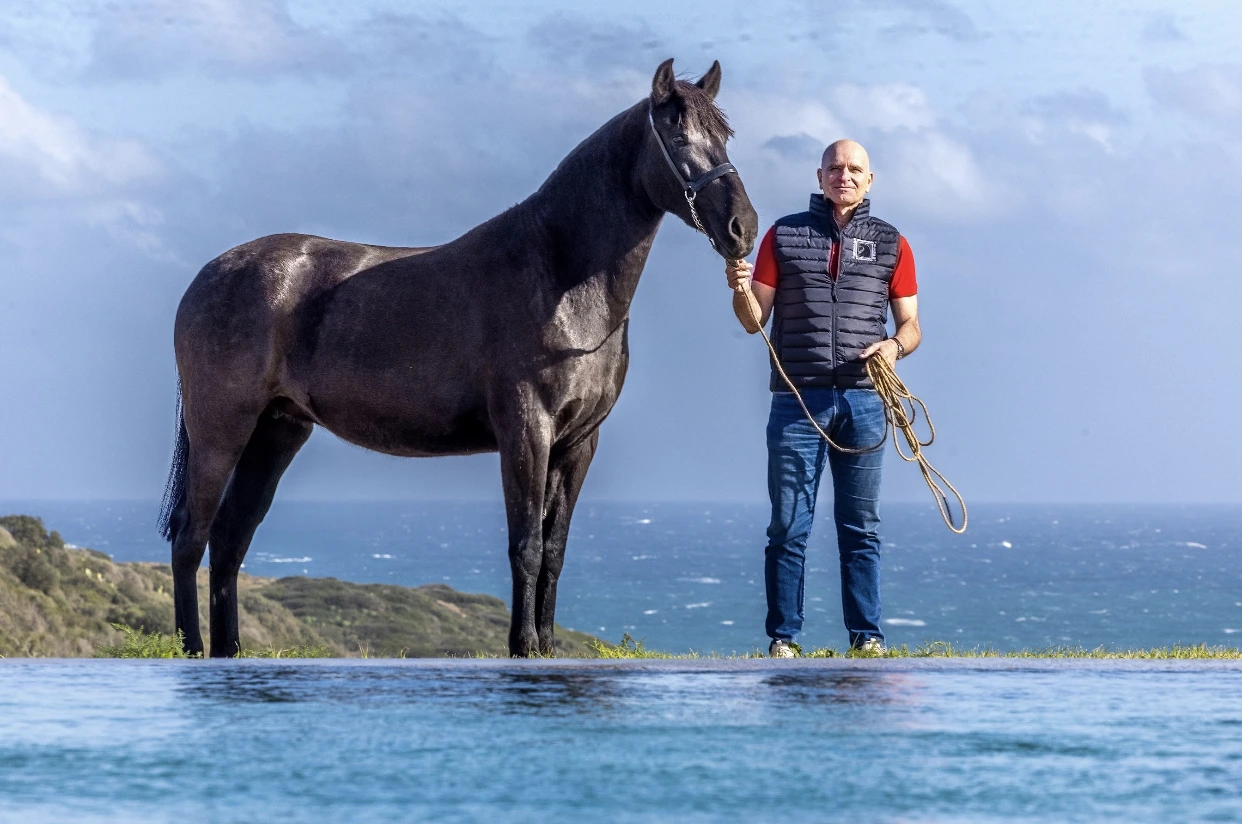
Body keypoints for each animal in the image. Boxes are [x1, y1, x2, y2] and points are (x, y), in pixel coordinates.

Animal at [157, 58, 758, 658]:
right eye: (678, 135)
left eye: (725, 136)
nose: (743, 228)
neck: (561, 277)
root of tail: (208, 276)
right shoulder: (527, 431)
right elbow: (526, 545)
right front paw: (523, 646)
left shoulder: (579, 442)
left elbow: (555, 549)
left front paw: (545, 645)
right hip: (222, 429)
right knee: (192, 538)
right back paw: (190, 647)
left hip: (278, 430)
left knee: (229, 540)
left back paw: (230, 651)